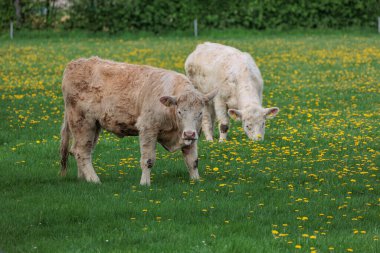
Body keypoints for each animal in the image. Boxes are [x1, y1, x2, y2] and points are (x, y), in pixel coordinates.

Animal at [60, 56, 217, 185]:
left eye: (200, 113)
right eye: (179, 112)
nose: (189, 133)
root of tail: (75, 63)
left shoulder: (193, 135)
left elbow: (193, 160)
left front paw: (196, 180)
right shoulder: (148, 129)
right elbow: (148, 159)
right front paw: (145, 183)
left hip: (94, 126)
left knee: (83, 151)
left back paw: (83, 178)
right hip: (82, 123)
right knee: (81, 151)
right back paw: (94, 180)